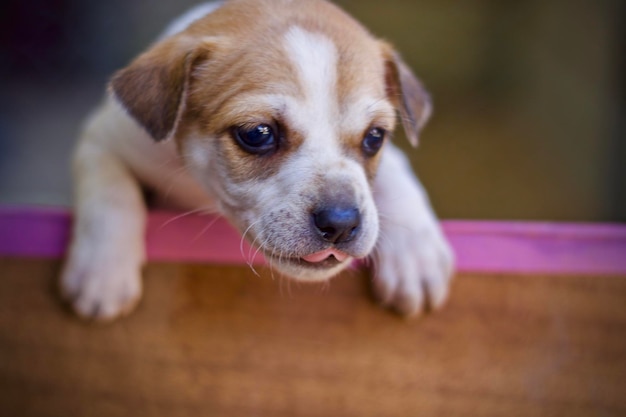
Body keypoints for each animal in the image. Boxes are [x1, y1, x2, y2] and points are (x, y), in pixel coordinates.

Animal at [61, 0, 454, 320]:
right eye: (257, 134)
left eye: (374, 137)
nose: (341, 223)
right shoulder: (102, 140)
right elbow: (110, 197)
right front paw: (103, 270)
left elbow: (397, 174)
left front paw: (416, 253)